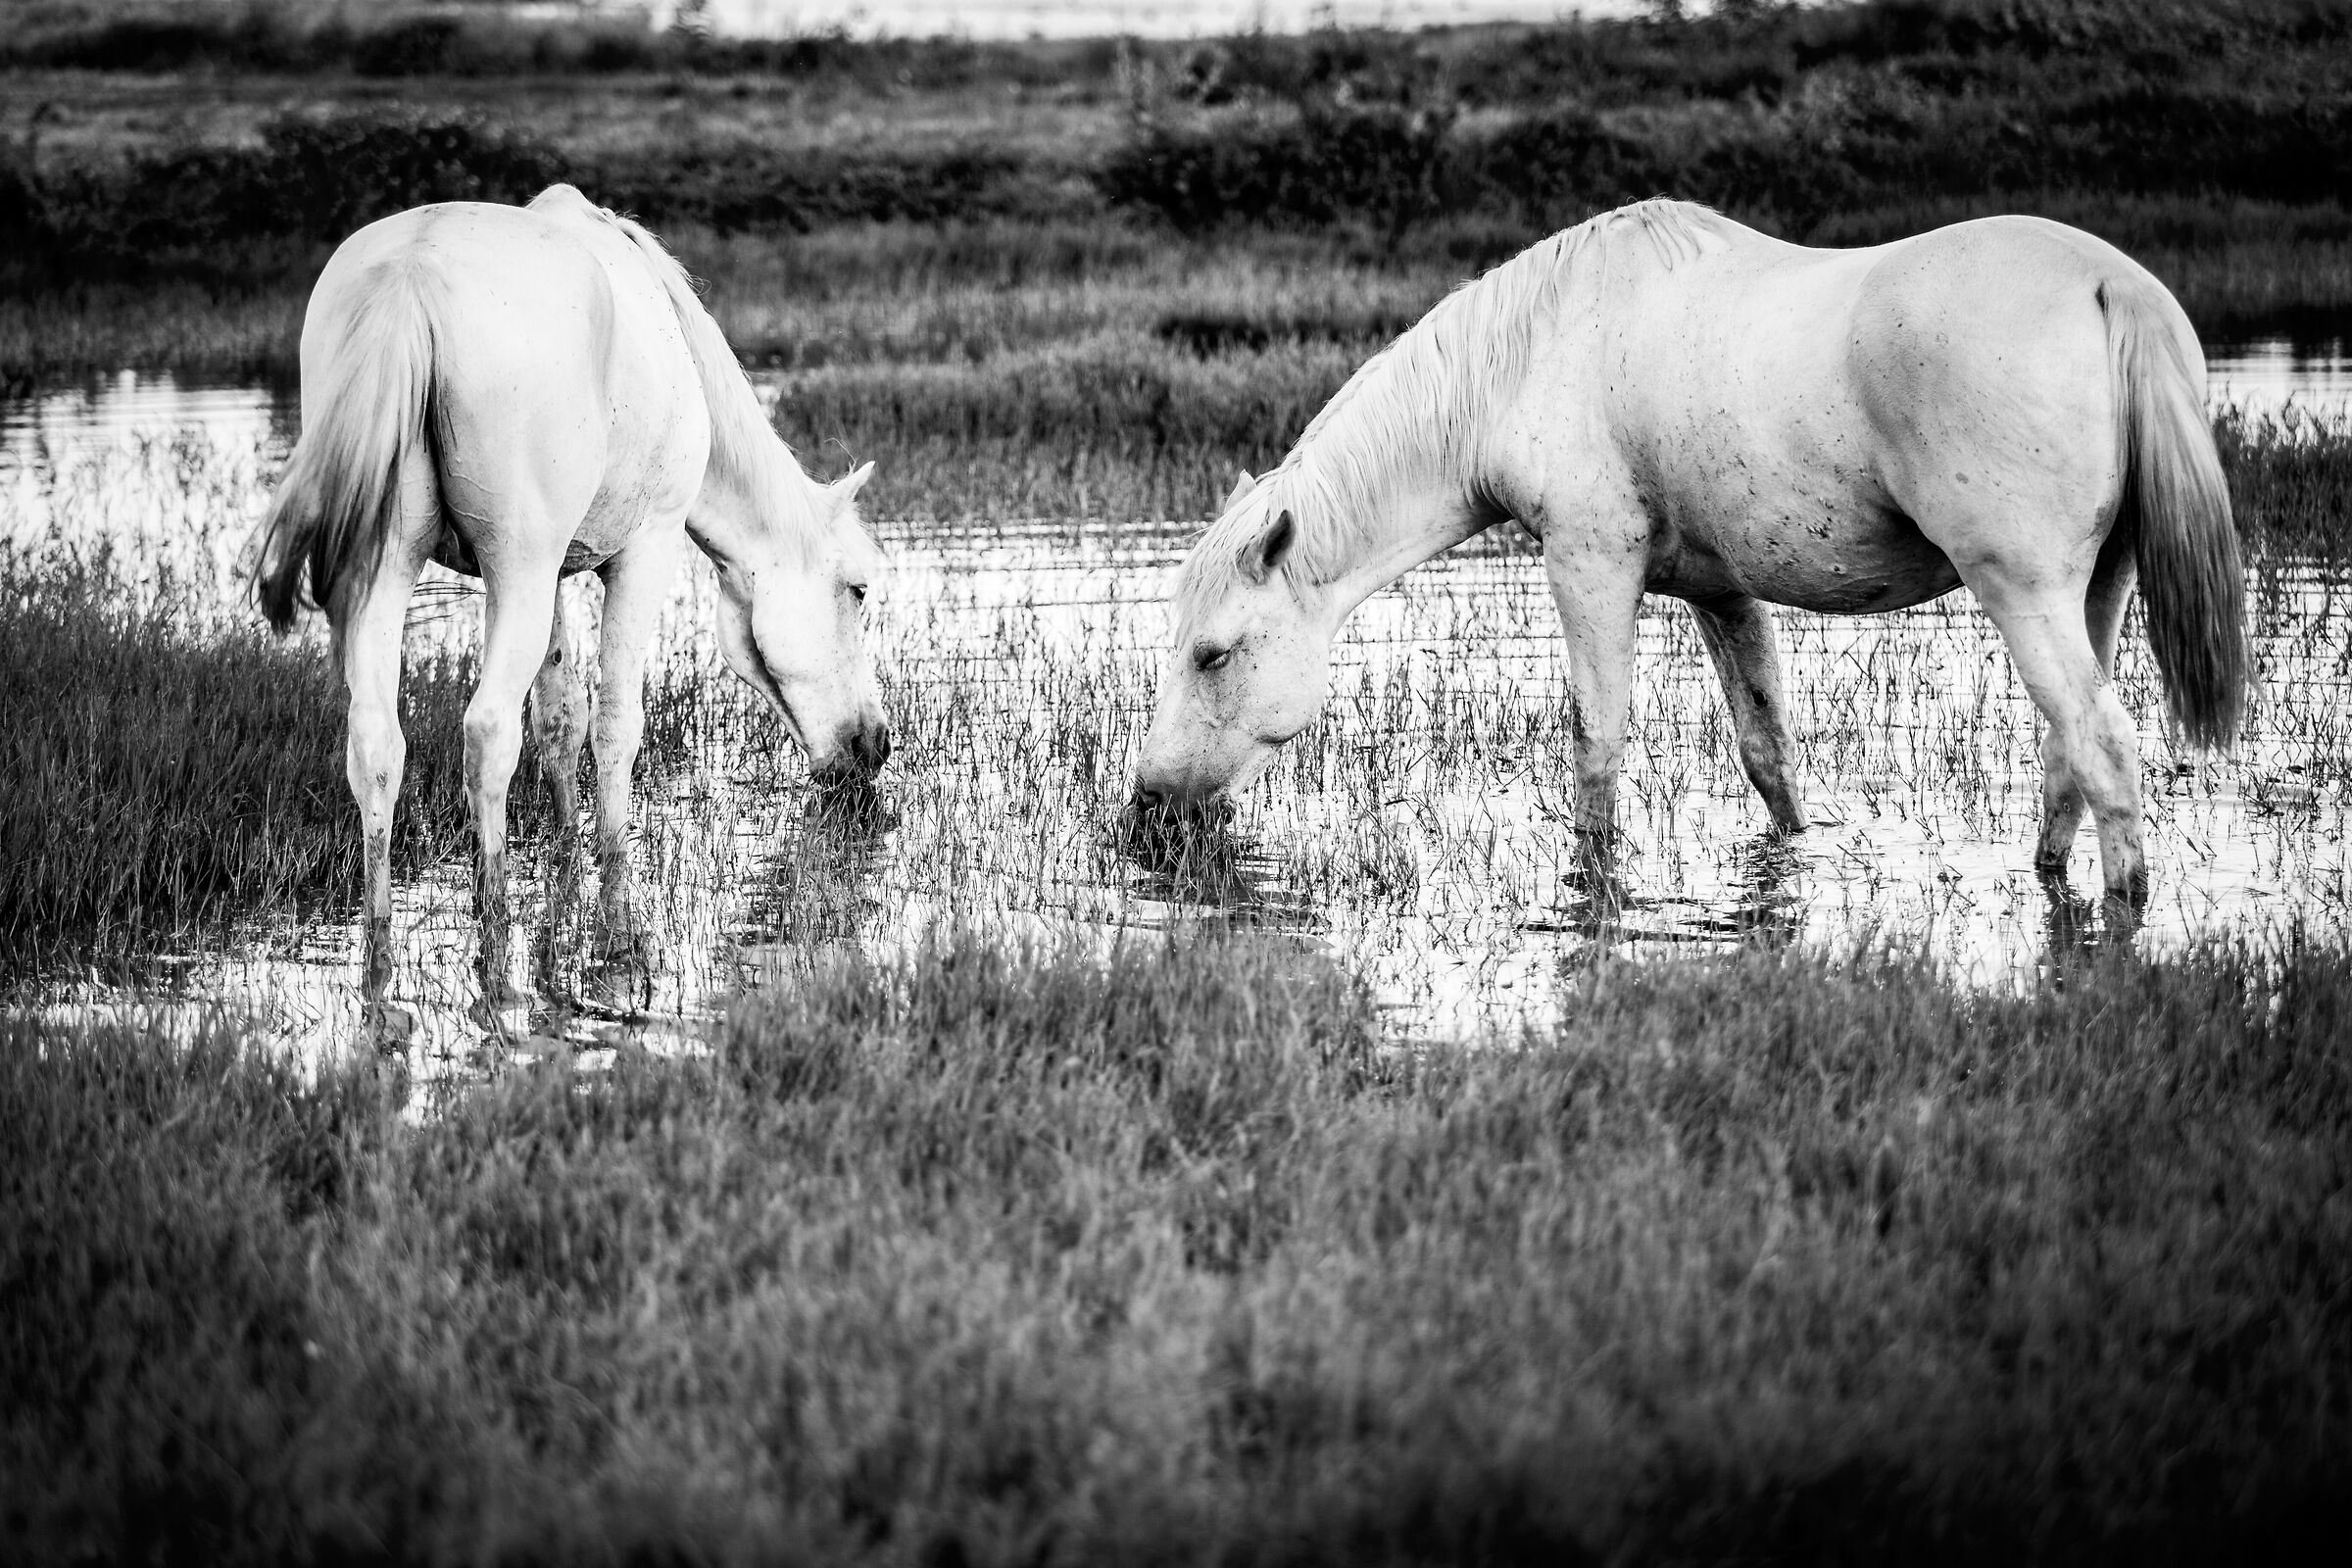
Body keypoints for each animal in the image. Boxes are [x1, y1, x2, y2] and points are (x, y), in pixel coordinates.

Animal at [253, 184, 890, 1037]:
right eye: (857, 589)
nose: (874, 744)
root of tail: (411, 276)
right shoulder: (643, 549)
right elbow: (615, 727)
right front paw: (614, 886)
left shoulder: (558, 573)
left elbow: (560, 720)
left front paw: (565, 863)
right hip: (515, 567)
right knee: (488, 735)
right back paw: (493, 939)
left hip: (391, 569)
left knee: (377, 748)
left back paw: (381, 951)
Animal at [1133, 200, 2245, 916]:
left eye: (1214, 654)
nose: (1146, 801)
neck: (1536, 350)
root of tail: (2112, 287)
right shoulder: (1721, 591)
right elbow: (1767, 752)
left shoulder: (1589, 564)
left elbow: (1596, 745)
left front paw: (1590, 888)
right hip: (2095, 591)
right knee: (2069, 752)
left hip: (2022, 589)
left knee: (2104, 745)